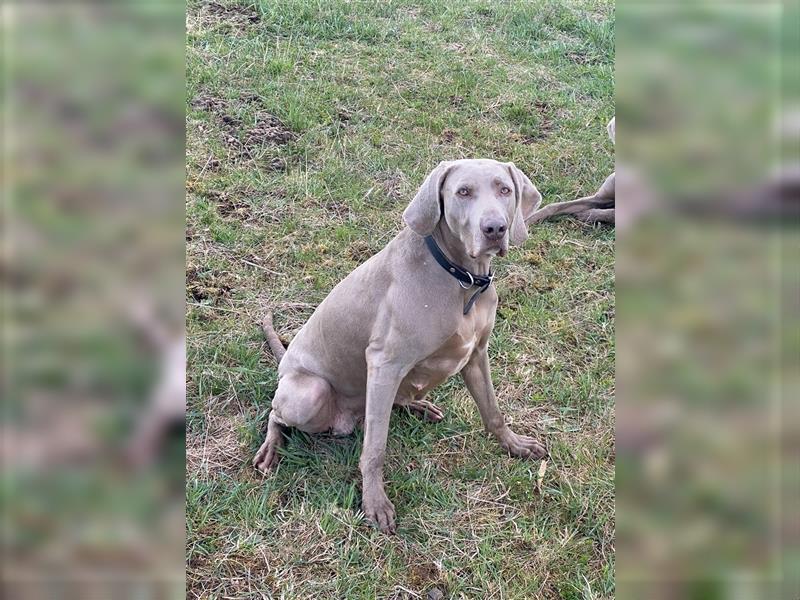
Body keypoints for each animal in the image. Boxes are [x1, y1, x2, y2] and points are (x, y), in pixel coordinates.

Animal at [256, 161, 552, 536]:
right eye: (463, 192)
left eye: (504, 189)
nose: (495, 228)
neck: (462, 281)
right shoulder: (384, 363)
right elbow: (375, 448)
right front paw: (374, 503)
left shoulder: (476, 354)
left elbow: (493, 411)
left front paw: (514, 445)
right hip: (309, 392)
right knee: (276, 413)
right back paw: (271, 445)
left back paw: (419, 406)